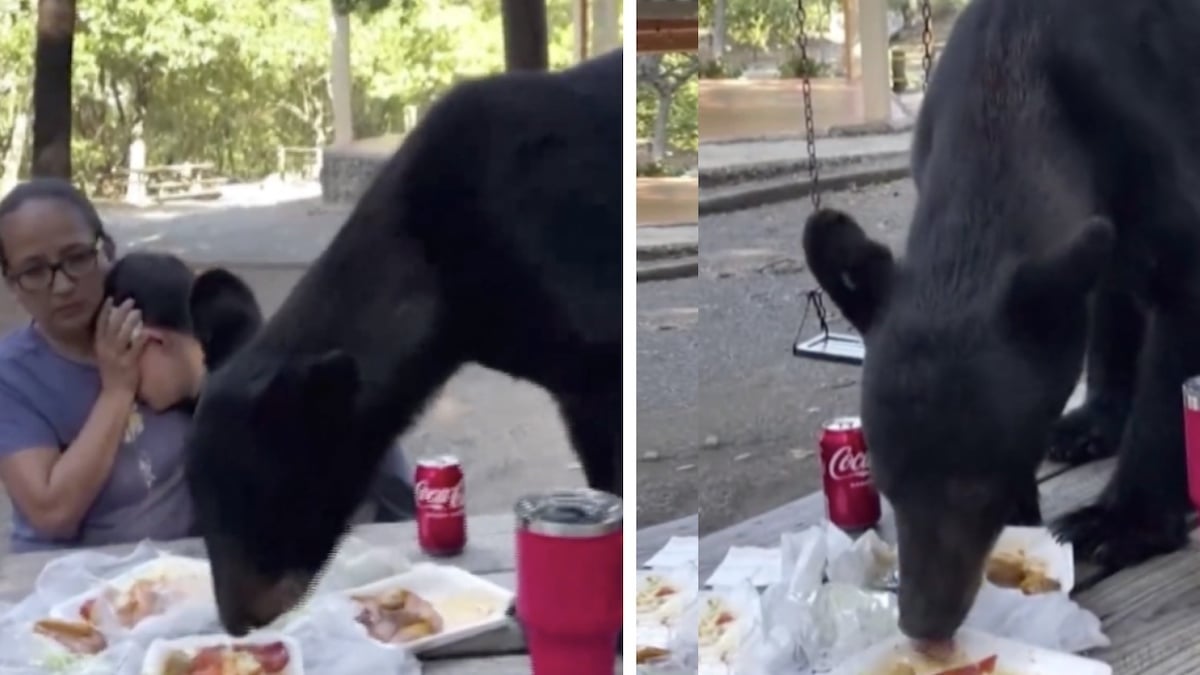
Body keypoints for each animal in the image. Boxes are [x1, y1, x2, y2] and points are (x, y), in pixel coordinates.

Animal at [796, 0, 1200, 638]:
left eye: (978, 484)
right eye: (886, 483)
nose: (923, 621)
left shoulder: (1151, 134)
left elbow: (1178, 323)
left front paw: (1122, 522)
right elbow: (1106, 288)